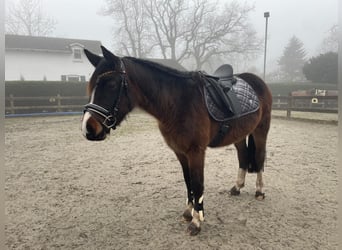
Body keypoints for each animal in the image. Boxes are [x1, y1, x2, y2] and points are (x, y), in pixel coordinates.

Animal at [81, 46, 272, 235]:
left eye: (112, 85)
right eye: (90, 86)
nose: (88, 128)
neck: (178, 103)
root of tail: (256, 80)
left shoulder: (196, 152)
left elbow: (198, 183)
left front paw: (196, 222)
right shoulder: (180, 152)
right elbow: (188, 182)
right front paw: (188, 212)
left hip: (261, 130)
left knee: (260, 157)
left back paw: (260, 191)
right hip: (239, 135)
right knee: (243, 156)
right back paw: (237, 187)